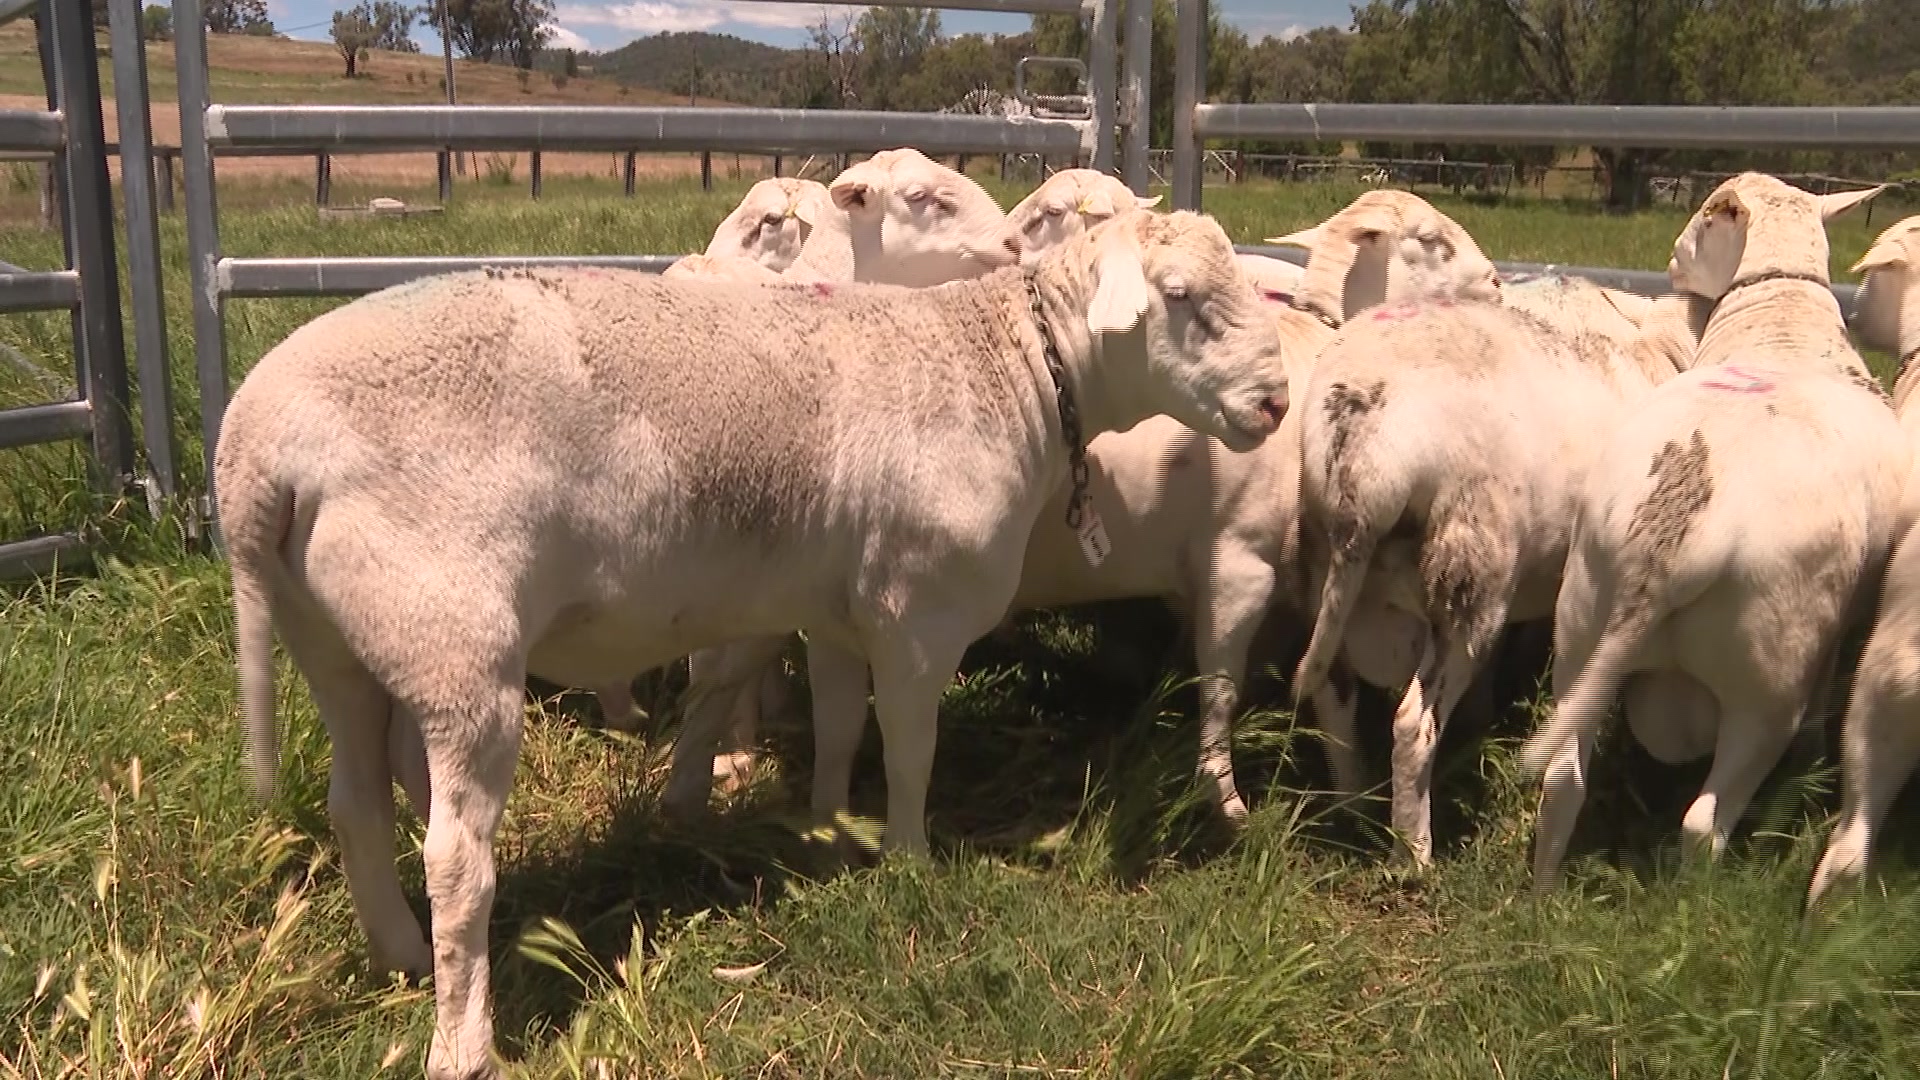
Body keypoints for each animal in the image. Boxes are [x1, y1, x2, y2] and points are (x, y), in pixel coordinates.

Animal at [217, 210, 1282, 1076]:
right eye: (1180, 297)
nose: (1274, 403)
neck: (1012, 369)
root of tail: (254, 456)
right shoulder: (918, 612)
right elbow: (911, 748)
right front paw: (908, 859)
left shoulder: (849, 609)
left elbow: (843, 728)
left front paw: (828, 832)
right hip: (453, 645)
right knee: (454, 856)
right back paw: (463, 1042)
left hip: (345, 640)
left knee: (356, 806)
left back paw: (398, 954)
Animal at [1520, 171, 1896, 887]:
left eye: (1699, 216)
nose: (1670, 259)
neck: (1781, 320)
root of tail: (1672, 545)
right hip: (1765, 681)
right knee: (1704, 822)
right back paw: (1691, 898)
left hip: (1581, 623)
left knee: (1563, 781)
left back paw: (1539, 892)